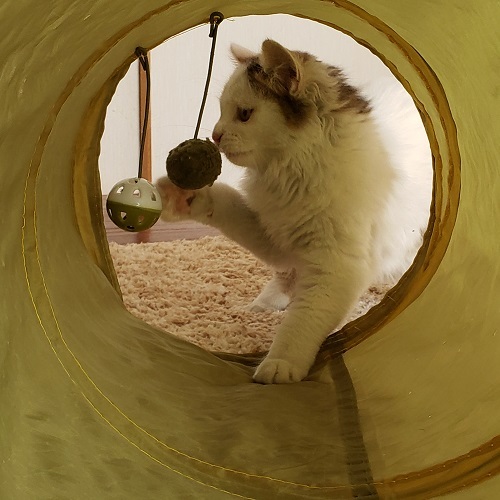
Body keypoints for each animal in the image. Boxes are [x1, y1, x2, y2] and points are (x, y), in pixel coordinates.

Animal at [156, 39, 432, 384]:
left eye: (244, 114)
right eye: (220, 110)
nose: (216, 136)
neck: (291, 171)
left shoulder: (335, 265)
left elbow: (302, 321)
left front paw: (280, 363)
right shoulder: (276, 234)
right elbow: (226, 203)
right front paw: (182, 197)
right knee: (284, 277)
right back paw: (263, 303)